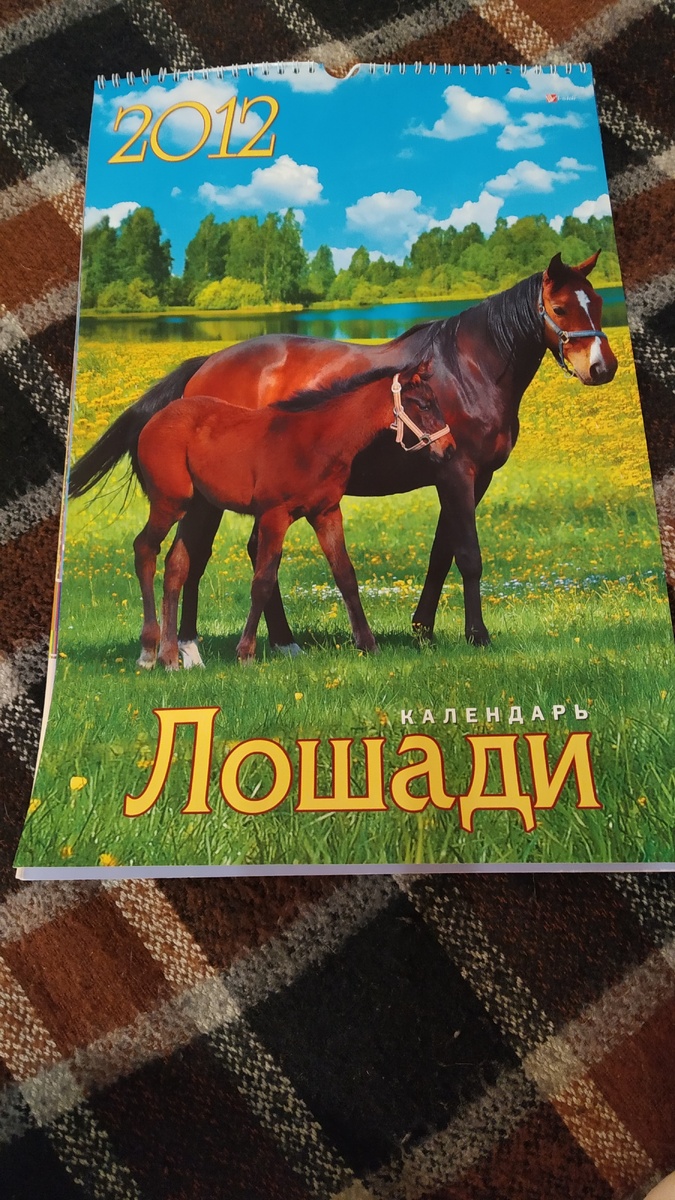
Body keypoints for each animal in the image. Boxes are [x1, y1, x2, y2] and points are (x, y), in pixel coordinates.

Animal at [133, 363, 453, 667]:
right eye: (424, 405)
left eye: (435, 401)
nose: (449, 450)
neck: (313, 442)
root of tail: (155, 420)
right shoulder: (273, 516)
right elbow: (262, 581)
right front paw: (245, 653)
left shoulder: (326, 513)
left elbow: (345, 575)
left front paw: (368, 644)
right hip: (170, 503)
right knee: (144, 548)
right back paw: (149, 652)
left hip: (199, 508)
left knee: (176, 565)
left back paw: (171, 657)